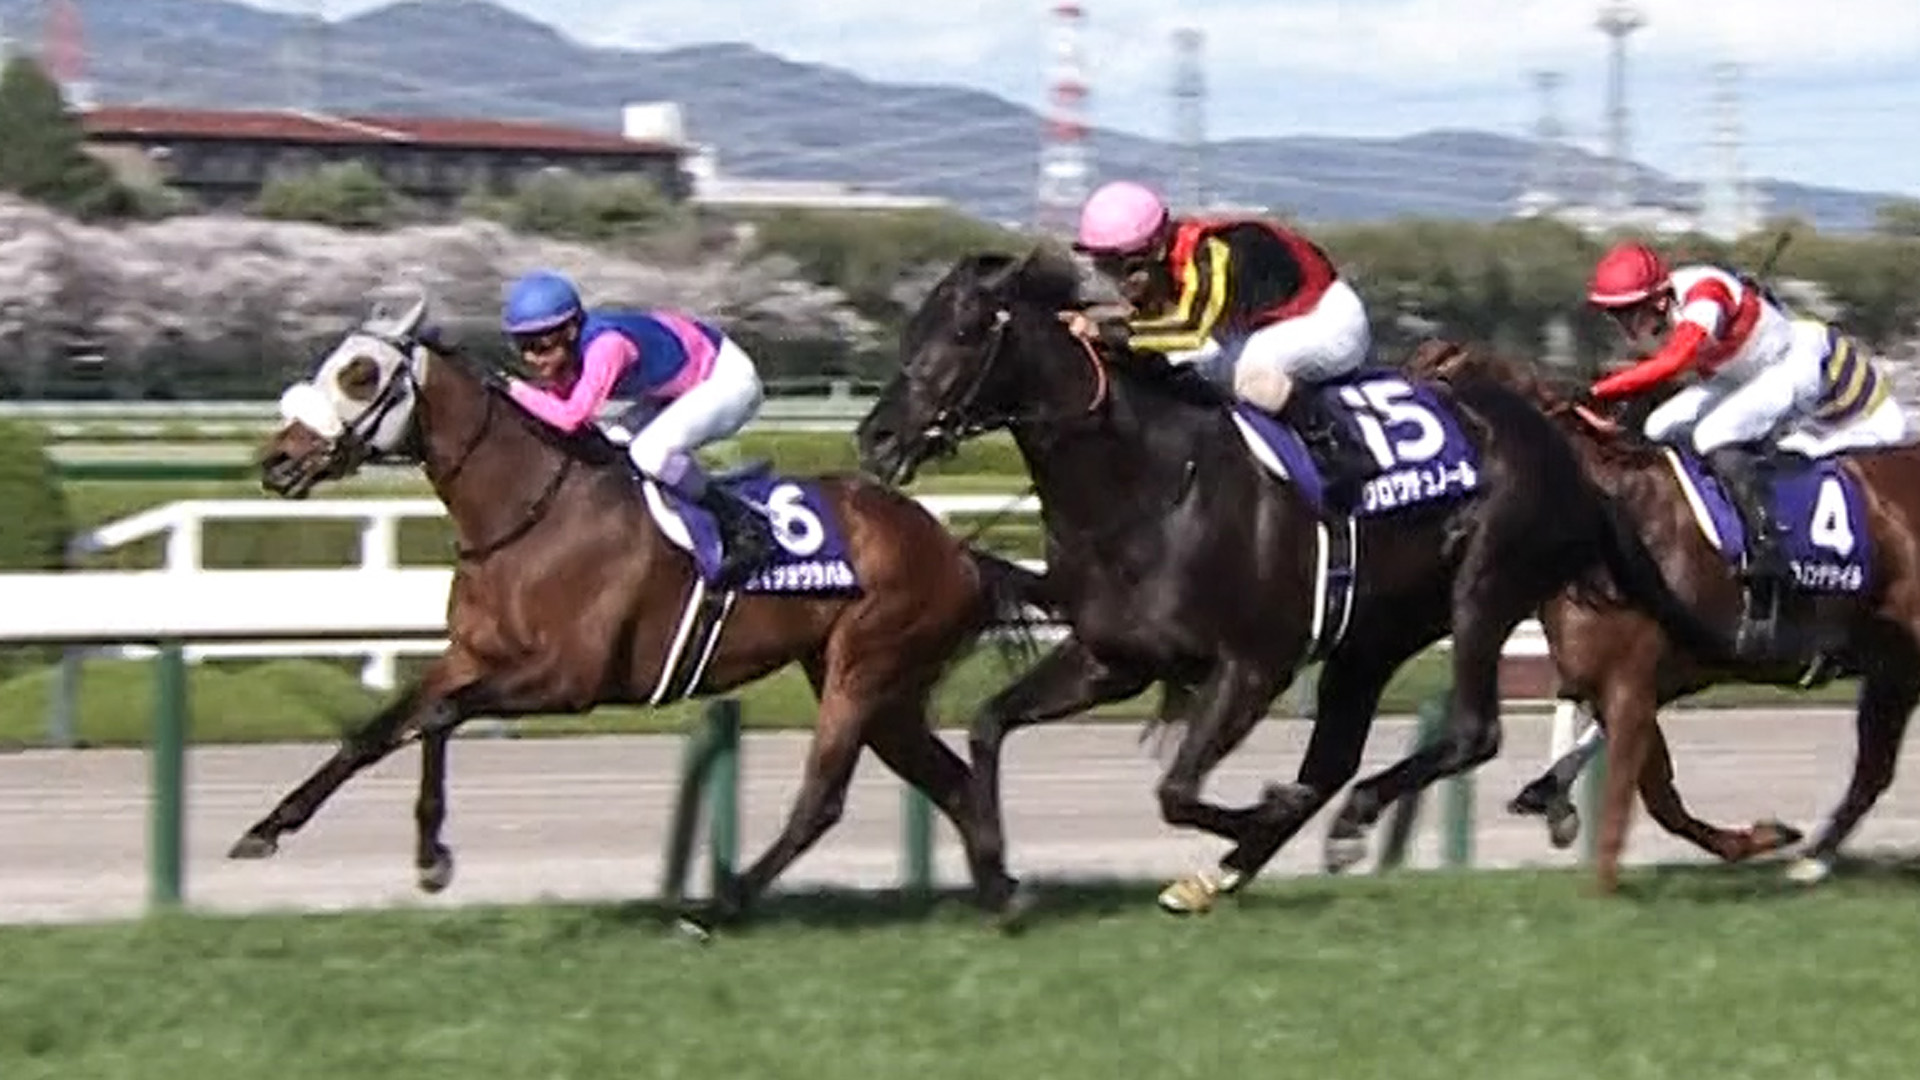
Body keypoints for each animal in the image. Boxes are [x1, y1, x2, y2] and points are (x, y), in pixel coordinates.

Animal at [232, 292, 1049, 931]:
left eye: (360, 374)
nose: (277, 460)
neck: (529, 513)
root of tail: (955, 550)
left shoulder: (570, 679)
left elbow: (435, 720)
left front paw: (433, 857)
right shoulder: (469, 658)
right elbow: (373, 734)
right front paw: (266, 829)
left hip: (865, 670)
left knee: (822, 799)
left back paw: (719, 907)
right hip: (882, 688)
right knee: (948, 778)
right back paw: (1001, 892)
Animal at [853, 246, 1729, 912]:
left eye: (963, 330)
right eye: (914, 326)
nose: (876, 436)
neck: (1151, 483)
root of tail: (1559, 441)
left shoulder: (1253, 663)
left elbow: (1177, 790)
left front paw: (1256, 818)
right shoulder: (1113, 657)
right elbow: (989, 725)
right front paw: (1000, 877)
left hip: (1484, 587)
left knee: (1469, 730)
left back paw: (1338, 823)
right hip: (1372, 637)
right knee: (1336, 757)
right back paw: (1252, 859)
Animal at [1407, 339, 1920, 892]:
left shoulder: (1630, 684)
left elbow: (1633, 798)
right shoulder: (1621, 684)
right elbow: (1660, 795)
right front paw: (1759, 838)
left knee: (1873, 767)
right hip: (1891, 665)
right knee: (1873, 768)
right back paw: (1813, 859)